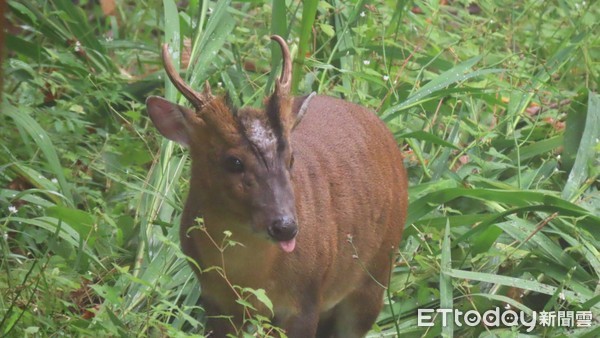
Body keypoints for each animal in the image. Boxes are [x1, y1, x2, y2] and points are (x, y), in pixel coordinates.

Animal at [146, 35, 408, 336]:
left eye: (291, 158)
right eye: (234, 161)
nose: (285, 227)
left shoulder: (305, 300)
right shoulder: (214, 300)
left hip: (376, 272)